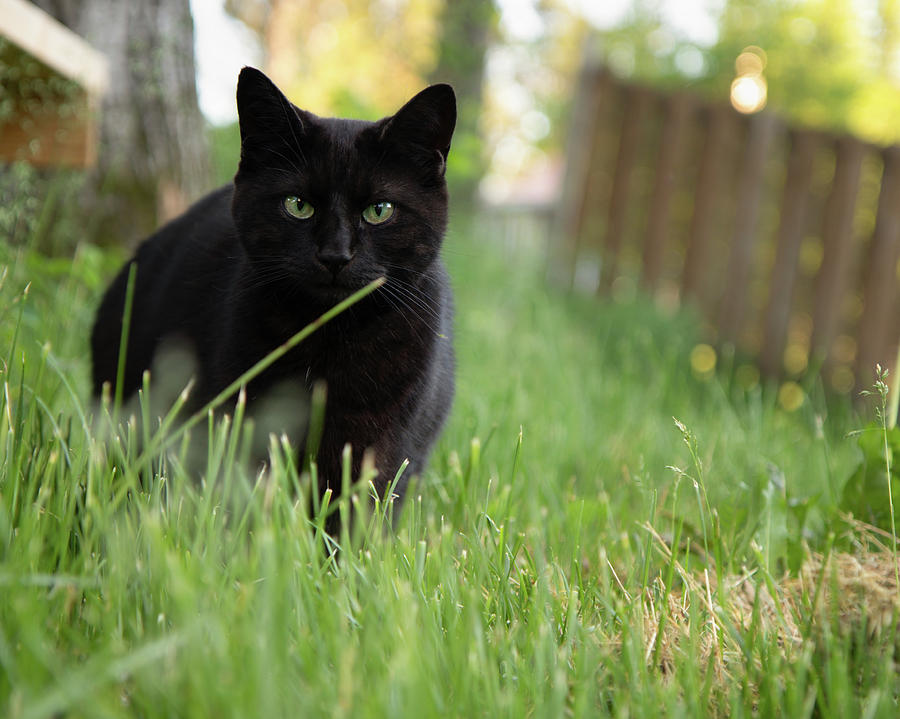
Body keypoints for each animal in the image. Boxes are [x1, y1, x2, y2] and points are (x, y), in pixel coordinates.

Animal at [91, 66, 458, 506]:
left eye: (379, 210)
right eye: (297, 205)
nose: (335, 255)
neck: (329, 338)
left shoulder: (379, 446)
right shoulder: (243, 418)